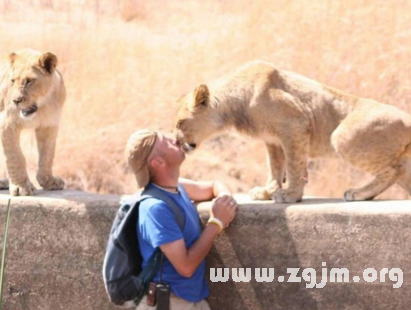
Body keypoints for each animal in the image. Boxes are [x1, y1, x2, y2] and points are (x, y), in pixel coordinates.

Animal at [0, 47, 65, 196]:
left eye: (30, 81)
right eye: (12, 81)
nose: (16, 101)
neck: (41, 105)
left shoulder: (49, 125)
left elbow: (48, 154)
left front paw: (48, 180)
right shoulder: (6, 124)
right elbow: (15, 156)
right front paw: (21, 187)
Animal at [174, 61, 411, 205]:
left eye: (180, 123)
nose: (176, 143)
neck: (233, 108)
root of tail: (407, 117)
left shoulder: (295, 124)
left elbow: (294, 165)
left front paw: (290, 195)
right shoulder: (272, 140)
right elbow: (275, 166)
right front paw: (268, 191)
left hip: (342, 136)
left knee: (395, 169)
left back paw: (359, 193)